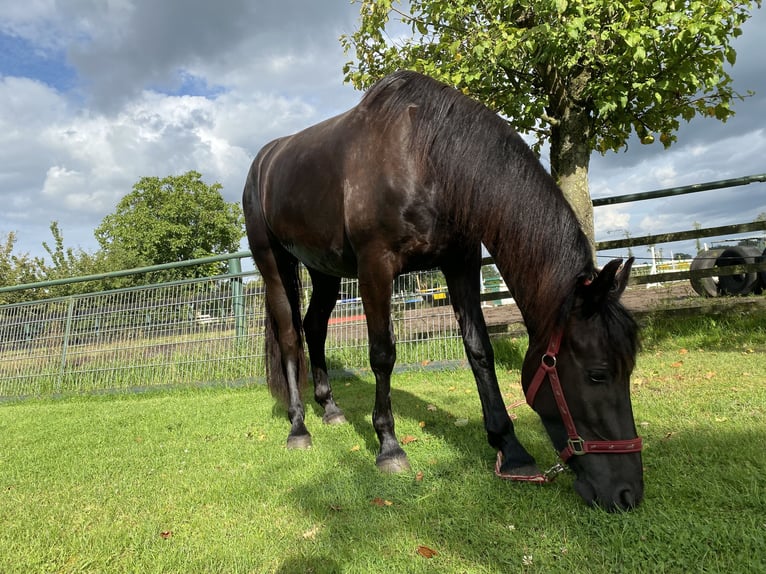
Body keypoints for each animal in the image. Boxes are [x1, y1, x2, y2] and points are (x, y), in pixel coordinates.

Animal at [243, 70, 644, 510]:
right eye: (597, 374)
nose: (627, 493)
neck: (424, 158)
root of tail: (263, 163)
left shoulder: (461, 262)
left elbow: (479, 349)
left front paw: (511, 449)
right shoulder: (376, 267)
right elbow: (382, 355)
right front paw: (389, 446)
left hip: (325, 269)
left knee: (314, 328)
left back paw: (330, 409)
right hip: (273, 264)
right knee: (289, 337)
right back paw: (299, 426)